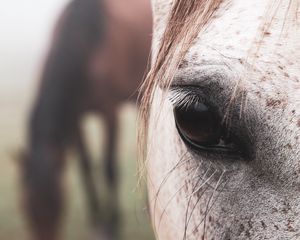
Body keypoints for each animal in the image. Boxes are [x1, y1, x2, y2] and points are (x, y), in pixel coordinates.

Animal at [22, 0, 152, 239]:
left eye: (57, 204)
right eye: (27, 207)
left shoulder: (109, 112)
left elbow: (109, 167)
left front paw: (112, 225)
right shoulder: (75, 118)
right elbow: (85, 166)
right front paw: (97, 221)